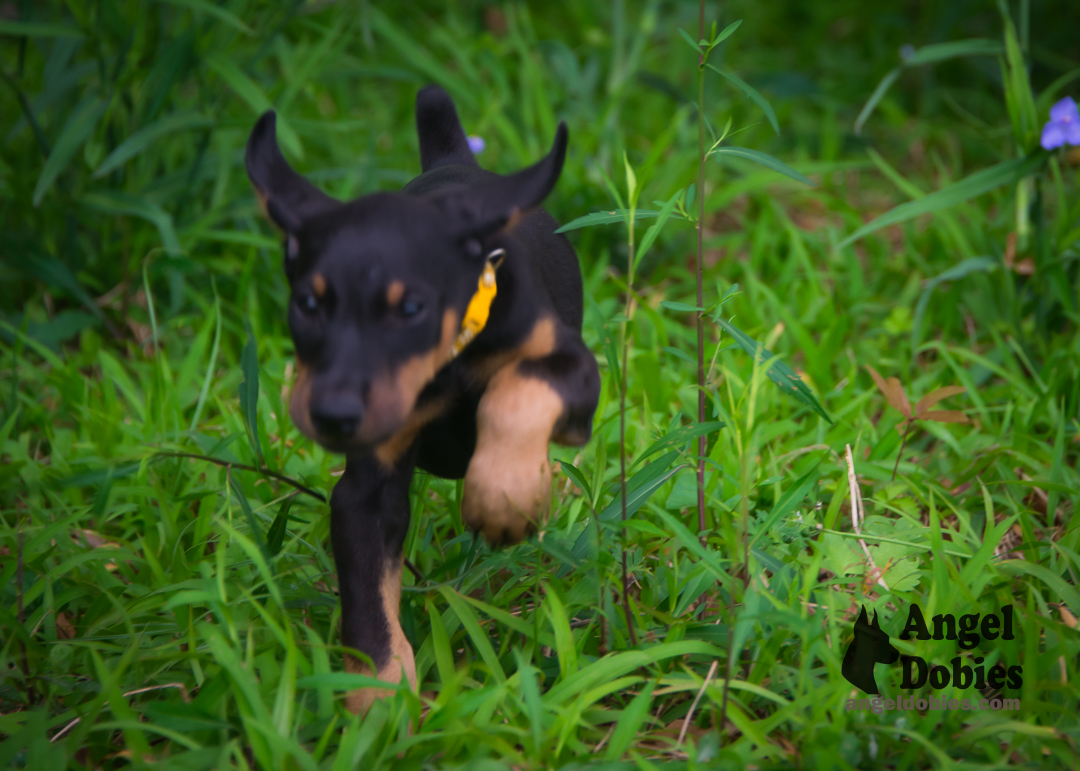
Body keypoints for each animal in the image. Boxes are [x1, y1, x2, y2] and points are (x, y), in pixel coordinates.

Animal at [244, 82, 600, 708]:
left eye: (411, 307)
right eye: (308, 304)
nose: (331, 415)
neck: (445, 363)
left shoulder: (574, 371)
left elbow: (517, 389)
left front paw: (503, 494)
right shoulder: (364, 493)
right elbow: (369, 612)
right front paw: (379, 707)